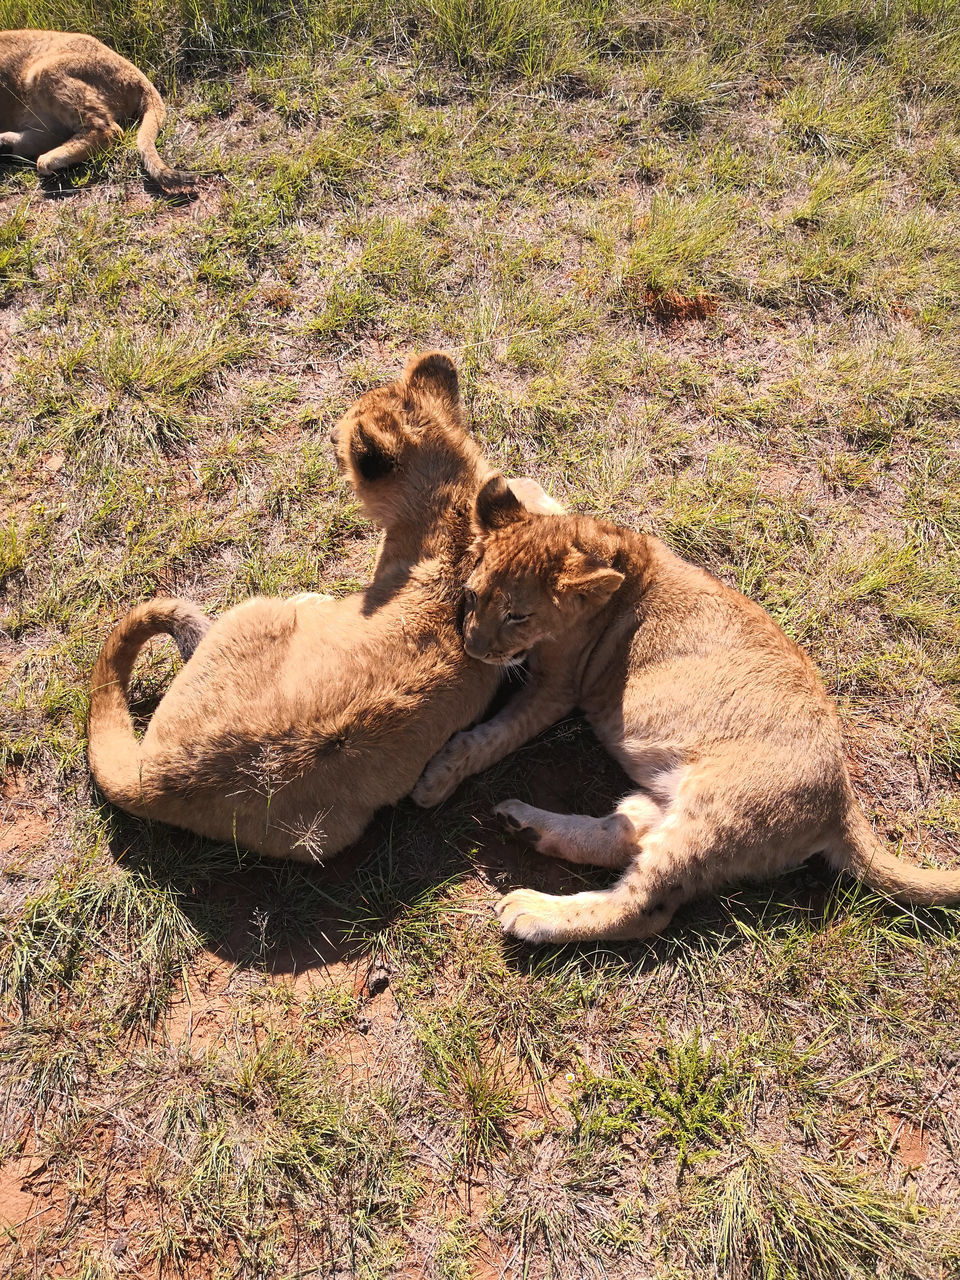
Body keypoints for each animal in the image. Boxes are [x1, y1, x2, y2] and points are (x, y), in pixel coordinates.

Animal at [0, 28, 195, 192]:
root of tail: (137, 74)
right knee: (52, 135)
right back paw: (5, 145)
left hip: (45, 70)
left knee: (109, 131)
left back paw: (46, 159)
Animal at [87, 353, 568, 860]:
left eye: (341, 432)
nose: (329, 442)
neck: (450, 508)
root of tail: (155, 775)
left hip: (255, 614)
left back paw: (311, 598)